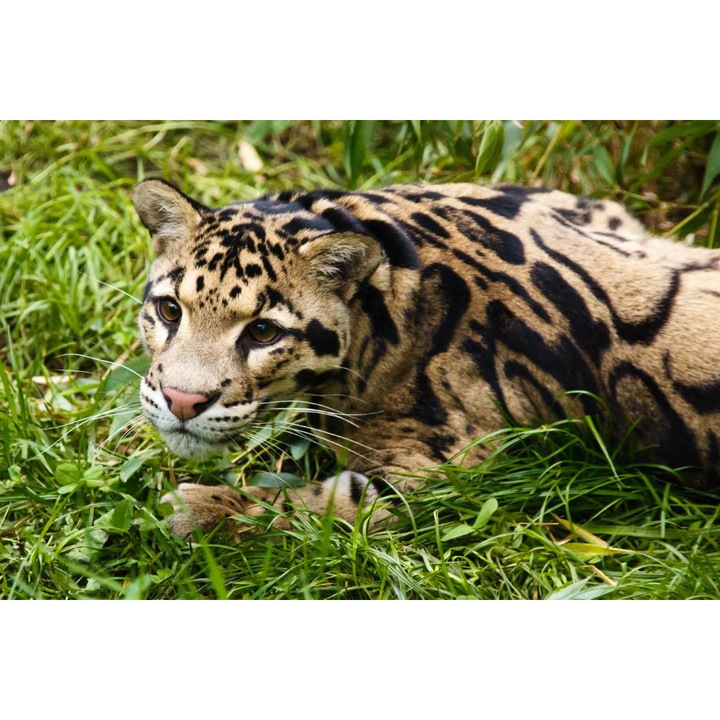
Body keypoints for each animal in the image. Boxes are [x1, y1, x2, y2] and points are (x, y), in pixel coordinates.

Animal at [132, 178, 720, 539]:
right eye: (169, 310)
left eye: (262, 332)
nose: (182, 401)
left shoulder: (452, 467)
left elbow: (321, 506)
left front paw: (202, 510)